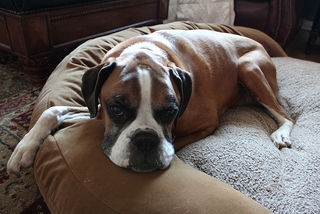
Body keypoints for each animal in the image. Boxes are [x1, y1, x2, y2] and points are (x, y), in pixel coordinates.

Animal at [7, 29, 294, 174]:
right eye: (117, 108)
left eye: (171, 111)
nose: (145, 139)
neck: (144, 53)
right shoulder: (95, 111)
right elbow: (52, 110)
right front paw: (23, 150)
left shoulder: (207, 123)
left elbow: (175, 143)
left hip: (248, 68)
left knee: (285, 114)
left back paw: (281, 133)